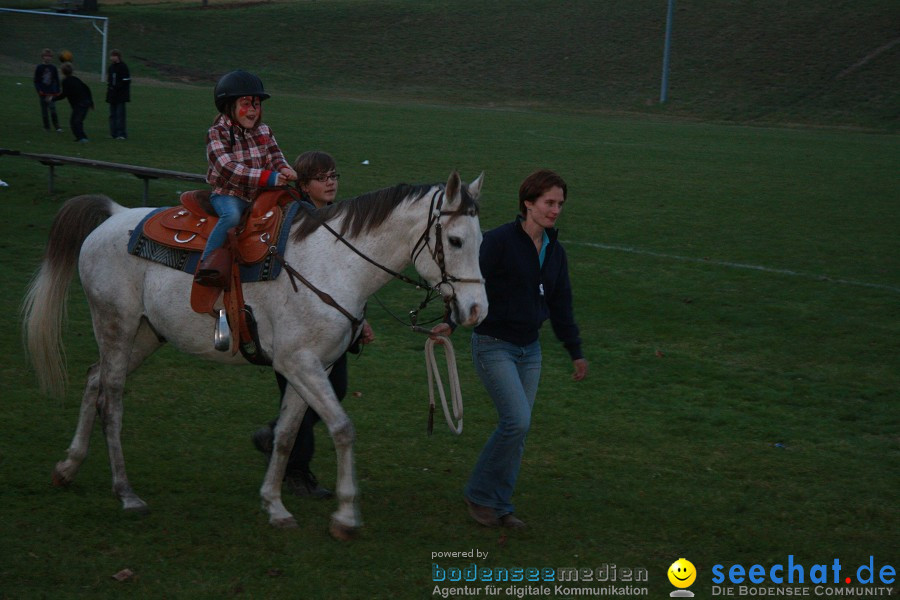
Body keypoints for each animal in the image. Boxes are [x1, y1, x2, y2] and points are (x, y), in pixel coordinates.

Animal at [22, 170, 486, 540]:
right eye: (455, 240)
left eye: (481, 240)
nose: (477, 310)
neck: (335, 266)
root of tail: (116, 214)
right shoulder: (301, 364)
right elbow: (342, 429)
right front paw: (346, 516)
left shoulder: (311, 367)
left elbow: (286, 435)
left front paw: (275, 506)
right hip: (115, 326)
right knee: (112, 401)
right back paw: (126, 494)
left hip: (144, 335)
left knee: (94, 379)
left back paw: (68, 467)